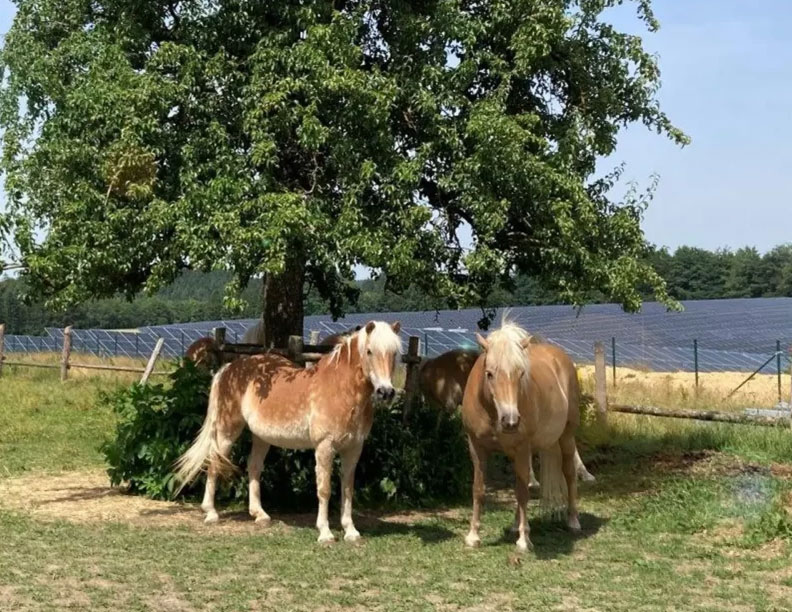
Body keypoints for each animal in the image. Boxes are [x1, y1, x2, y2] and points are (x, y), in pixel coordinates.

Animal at [464, 320, 580, 548]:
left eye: (521, 374)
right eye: (489, 373)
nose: (510, 421)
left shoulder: (521, 447)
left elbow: (523, 492)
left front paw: (524, 539)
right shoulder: (476, 447)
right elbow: (479, 489)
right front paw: (473, 535)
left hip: (566, 437)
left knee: (569, 473)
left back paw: (573, 521)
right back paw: (514, 525)